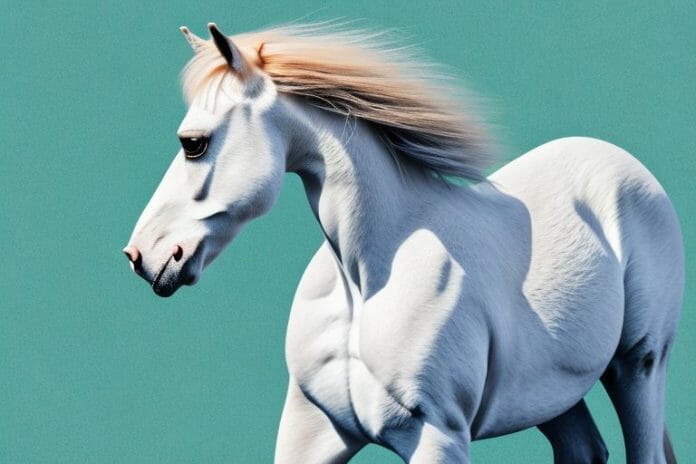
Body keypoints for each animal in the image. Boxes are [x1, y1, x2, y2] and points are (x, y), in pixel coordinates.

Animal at [123, 23, 683, 463]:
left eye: (193, 143)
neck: (367, 282)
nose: (142, 257)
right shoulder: (313, 429)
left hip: (638, 366)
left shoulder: (438, 438)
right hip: (549, 392)